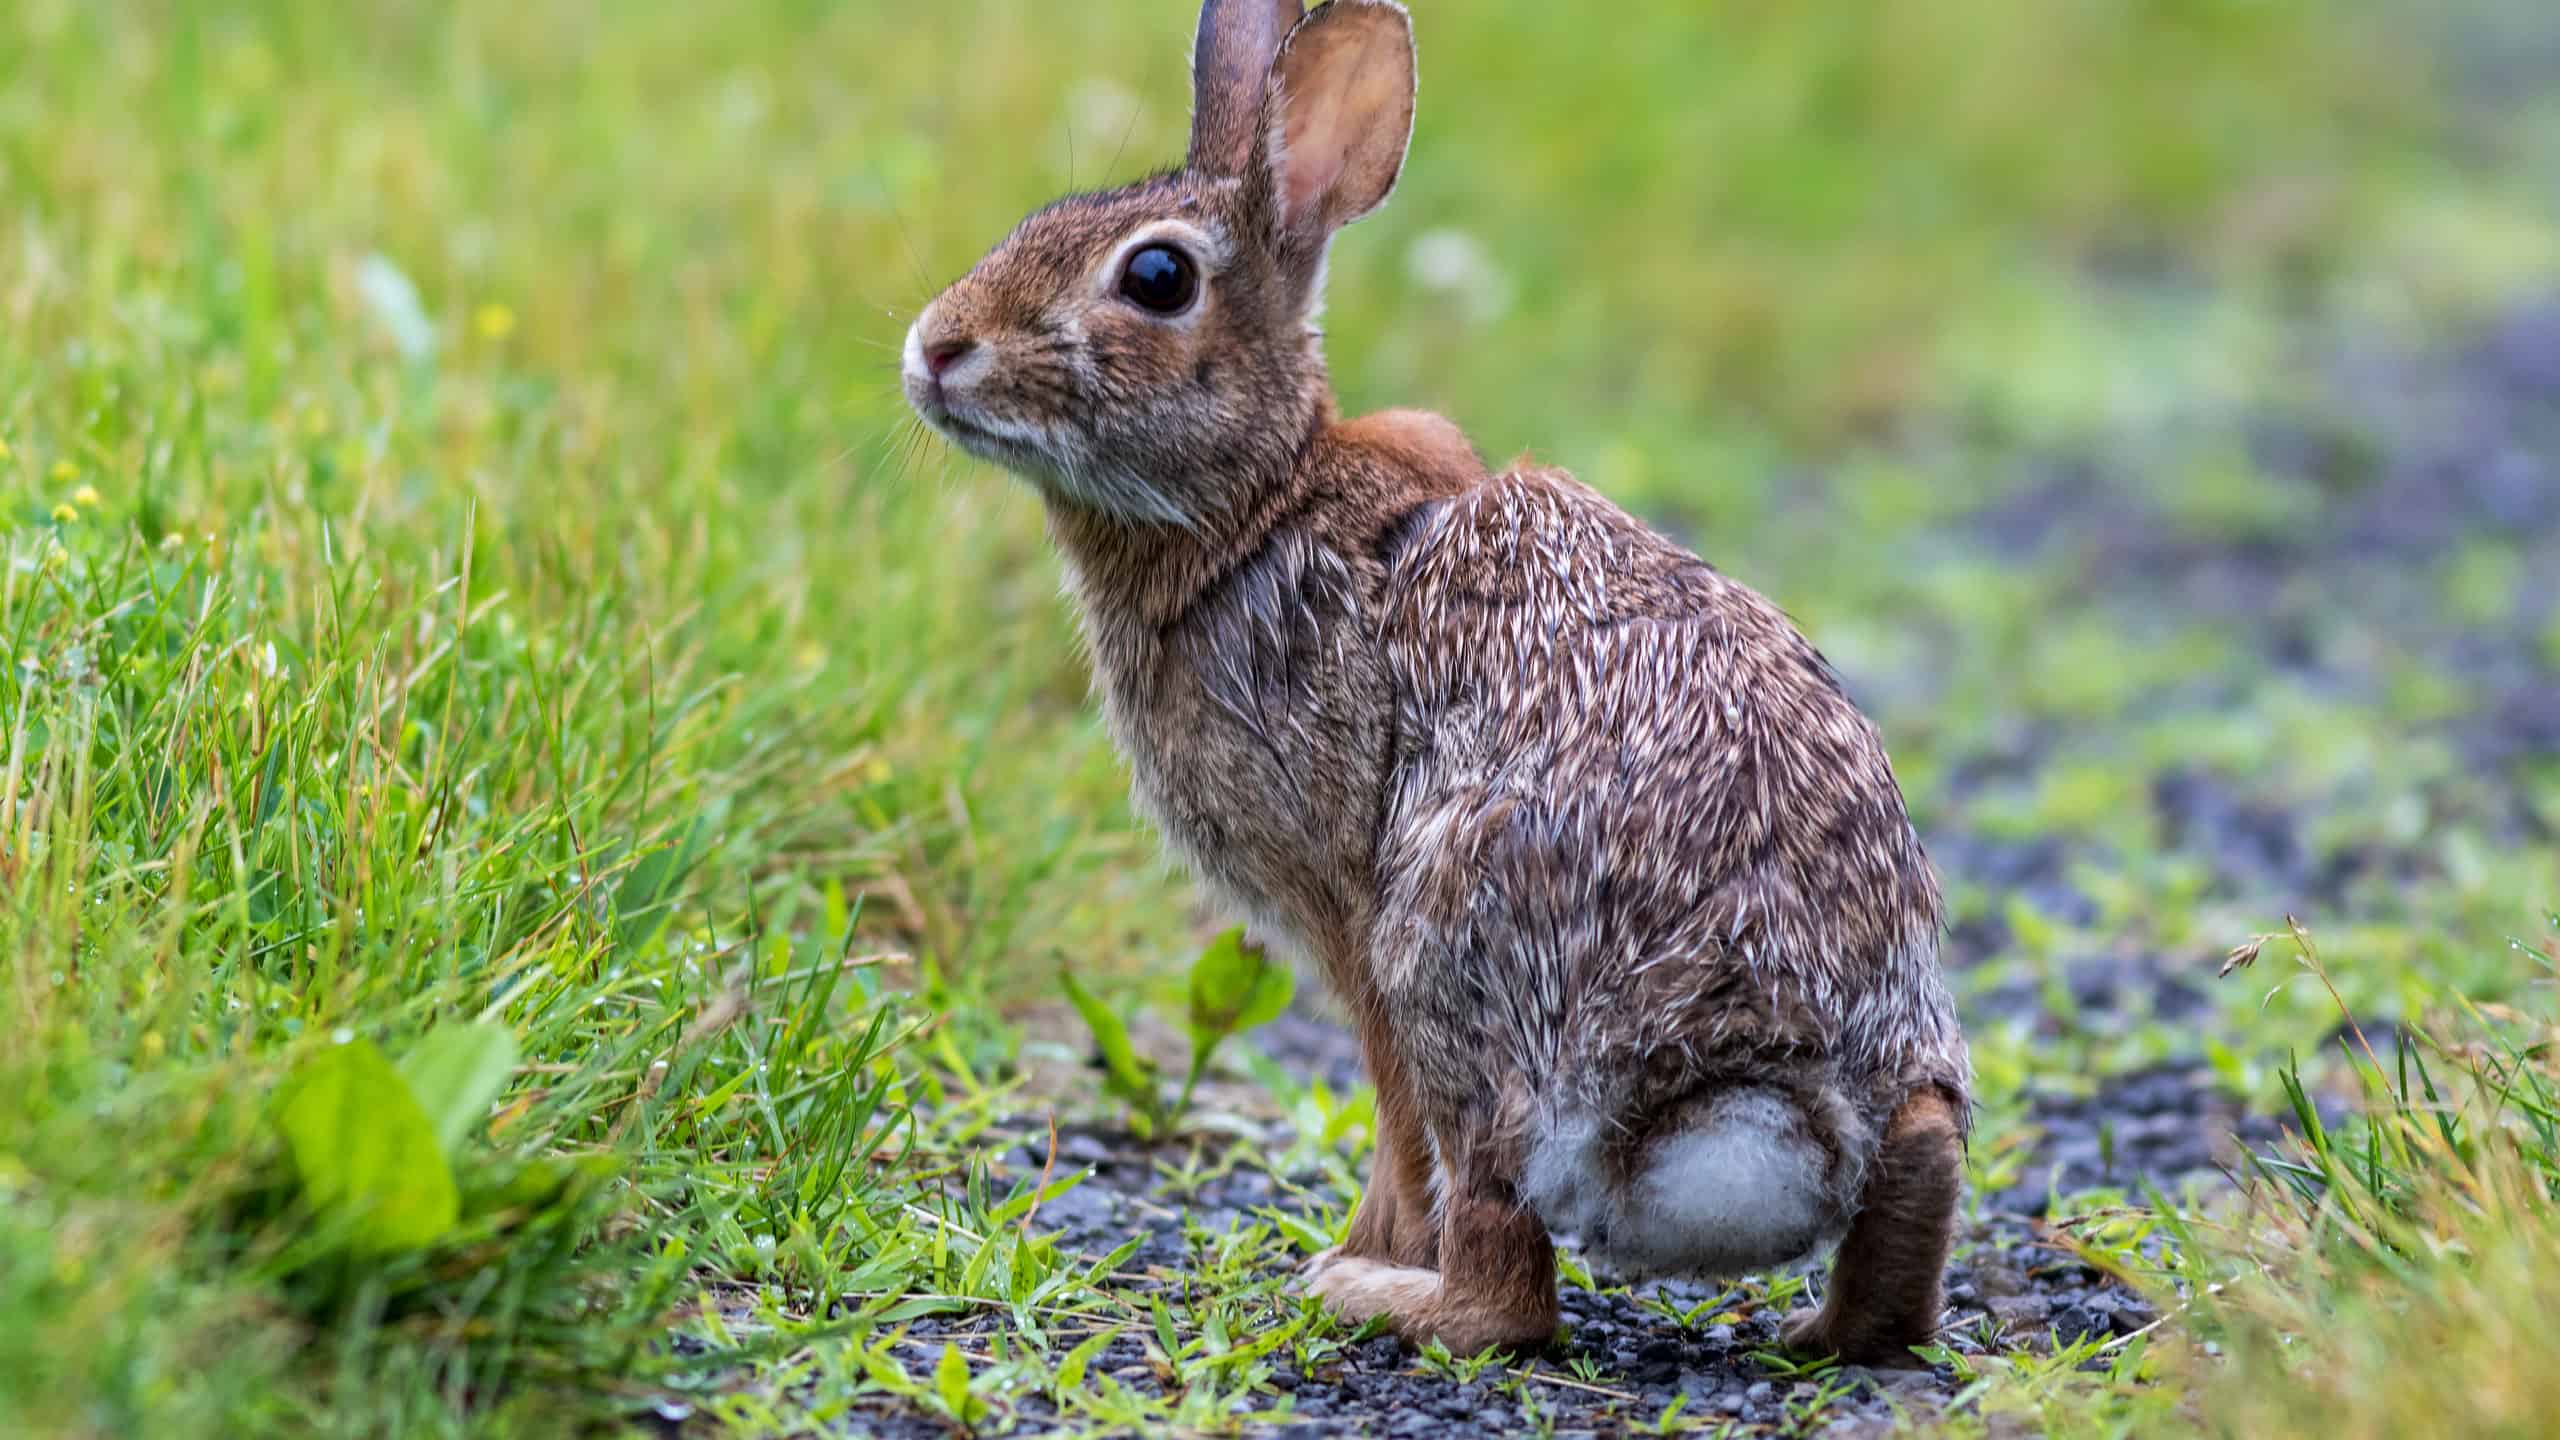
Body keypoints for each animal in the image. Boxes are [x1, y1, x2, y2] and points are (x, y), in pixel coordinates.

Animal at [906, 0, 1976, 1352]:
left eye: (1156, 279)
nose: (936, 348)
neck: (1257, 507)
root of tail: (1767, 1081)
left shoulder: (1348, 912)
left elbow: (1388, 1109)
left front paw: (1363, 1244)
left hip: (1456, 945)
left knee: (1504, 1280)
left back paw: (1376, 1295)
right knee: (1921, 1151)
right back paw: (1834, 1333)